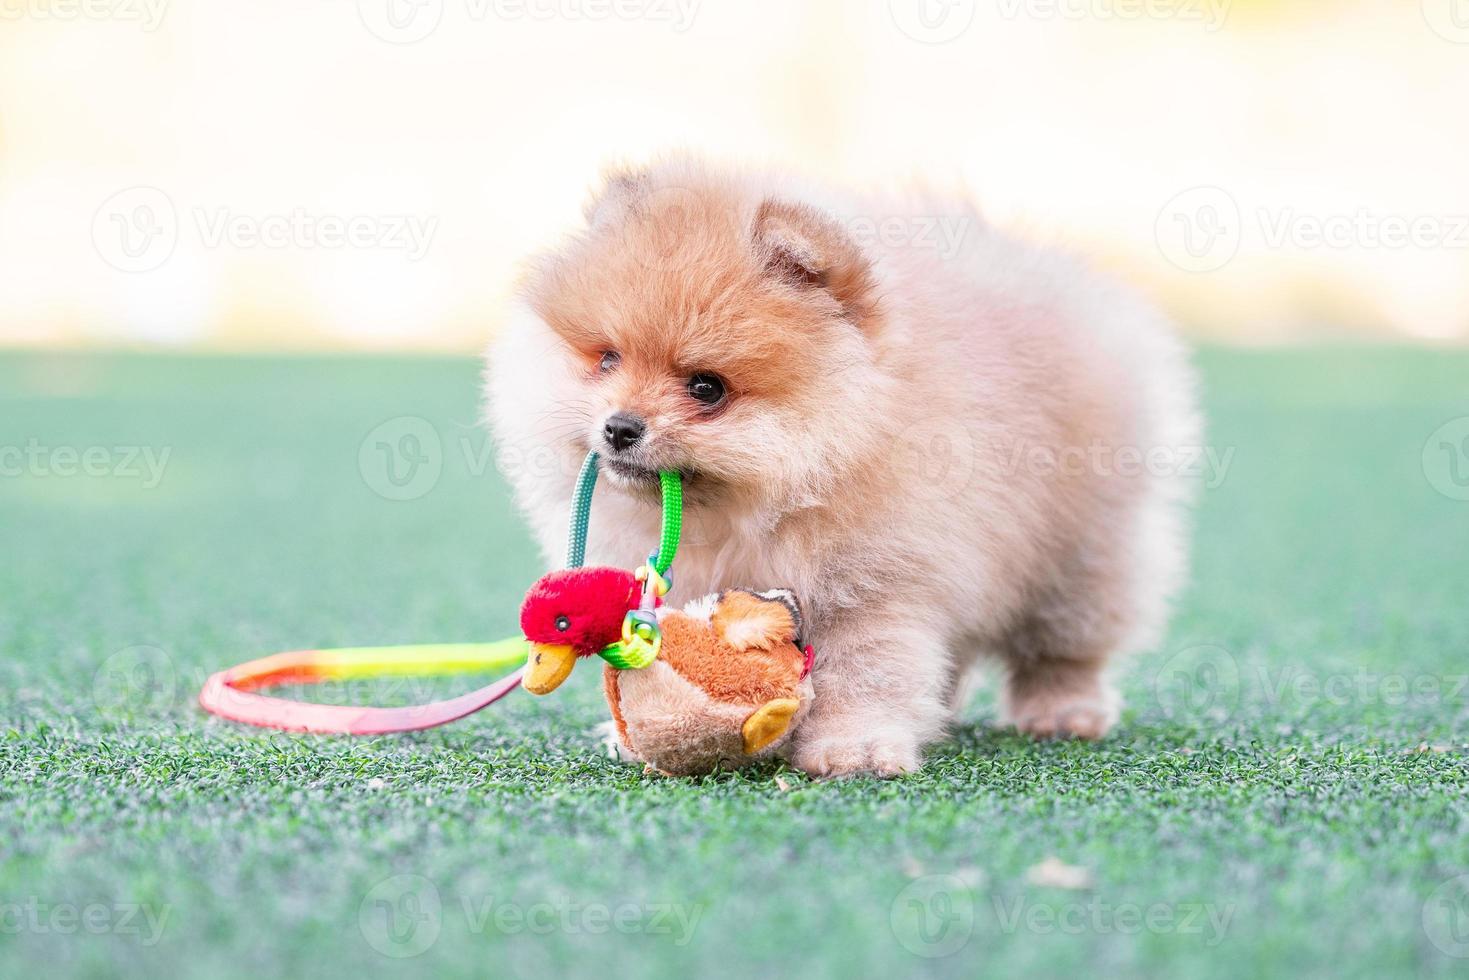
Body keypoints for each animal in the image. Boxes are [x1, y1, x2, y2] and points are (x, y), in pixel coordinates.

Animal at [487, 157, 1198, 775]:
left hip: (1082, 555)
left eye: (707, 388)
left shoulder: (877, 587)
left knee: (1065, 644)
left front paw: (854, 750)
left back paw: (1062, 710)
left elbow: (865, 675)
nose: (619, 427)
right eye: (607, 360)